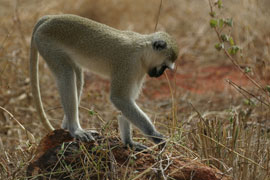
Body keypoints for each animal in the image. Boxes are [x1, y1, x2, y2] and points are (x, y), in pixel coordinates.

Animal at [29, 13, 178, 149]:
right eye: (164, 66)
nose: (158, 74)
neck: (142, 50)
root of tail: (51, 18)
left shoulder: (139, 71)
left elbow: (126, 103)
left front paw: (129, 143)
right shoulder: (129, 64)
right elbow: (120, 99)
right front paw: (155, 136)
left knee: (77, 77)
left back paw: (66, 127)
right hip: (46, 43)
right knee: (67, 74)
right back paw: (74, 129)